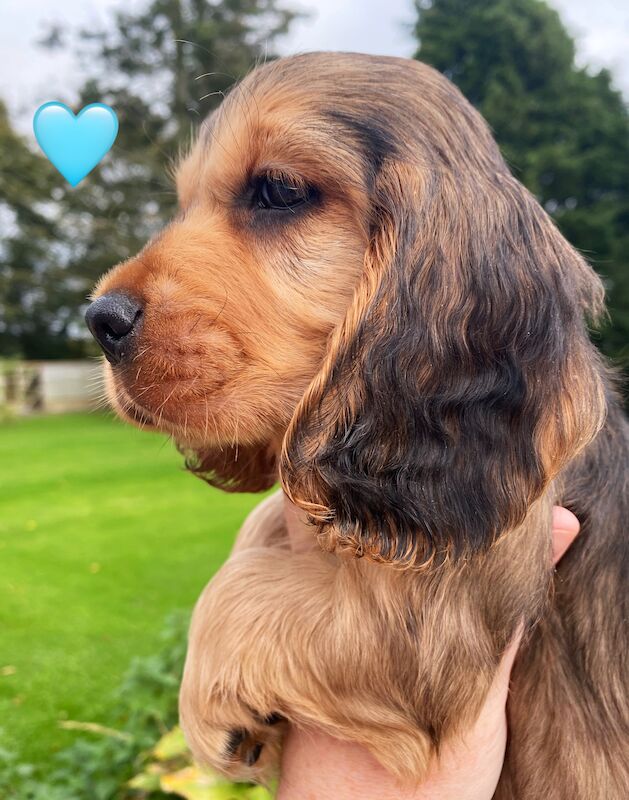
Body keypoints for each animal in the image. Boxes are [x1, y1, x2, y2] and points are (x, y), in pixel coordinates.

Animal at [84, 53, 628, 796]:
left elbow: (233, 592)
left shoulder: (428, 631)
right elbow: (265, 526)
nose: (98, 321)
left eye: (278, 191)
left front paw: (209, 715)